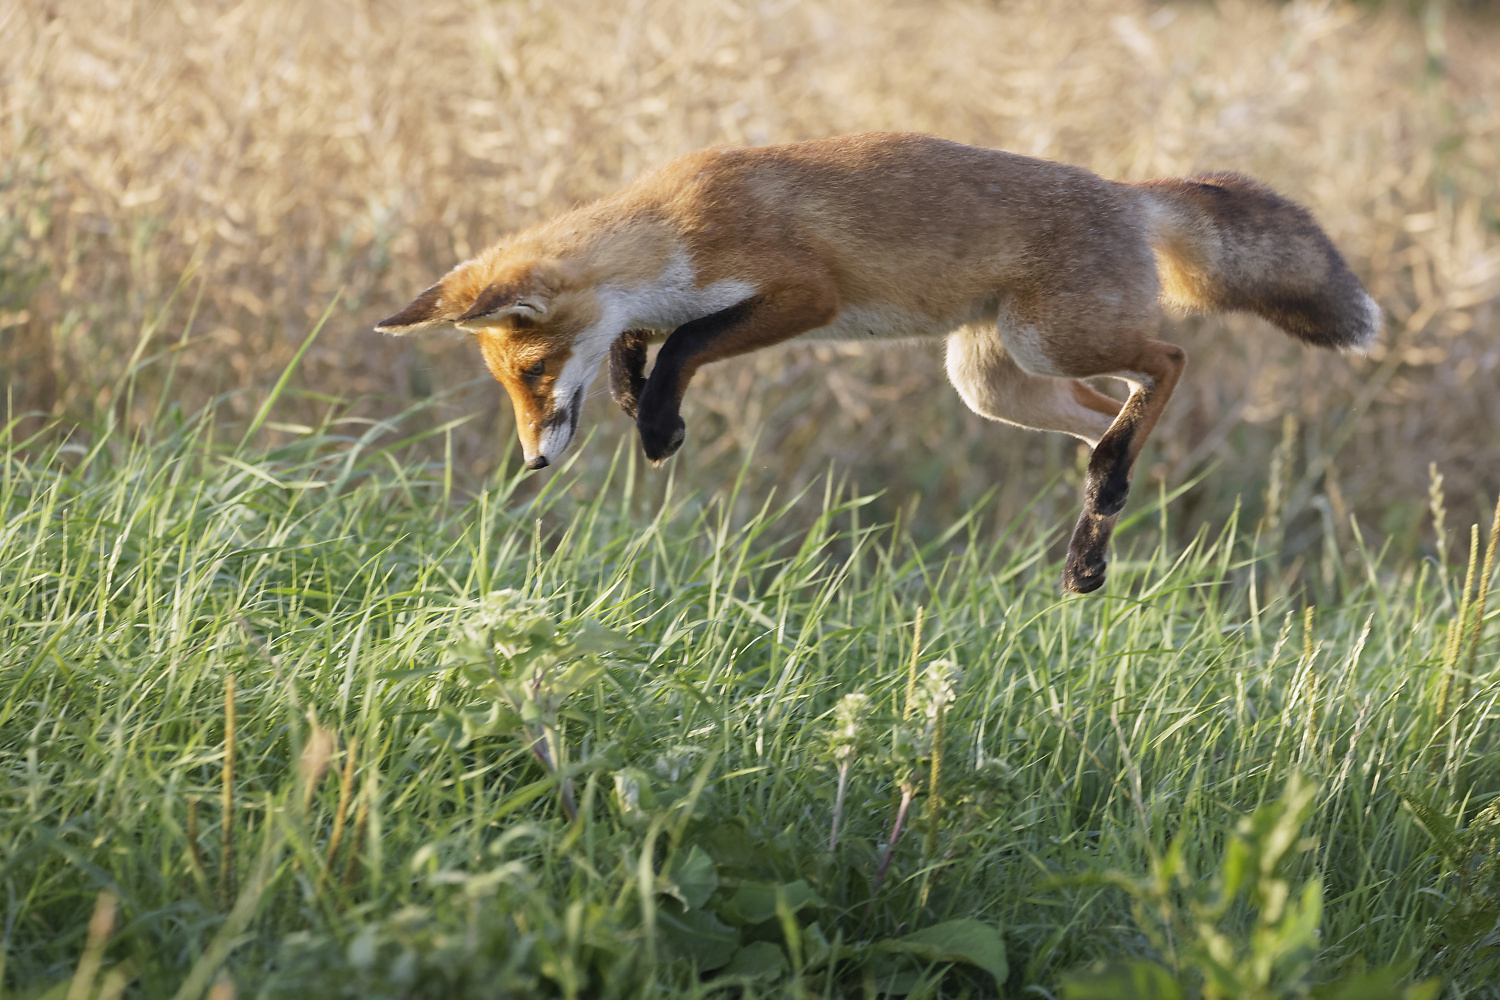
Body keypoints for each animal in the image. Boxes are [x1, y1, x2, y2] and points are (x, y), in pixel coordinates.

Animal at [378, 137, 1380, 599]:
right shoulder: (661, 311)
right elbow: (637, 351)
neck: (669, 228)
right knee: (1115, 416)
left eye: (534, 372)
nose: (531, 462)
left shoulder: (801, 294)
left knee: (1169, 360)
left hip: (1048, 342)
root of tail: (1131, 194)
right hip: (996, 381)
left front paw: (660, 422)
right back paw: (1097, 530)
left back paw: (1106, 495)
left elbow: (685, 348)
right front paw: (646, 410)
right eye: (511, 382)